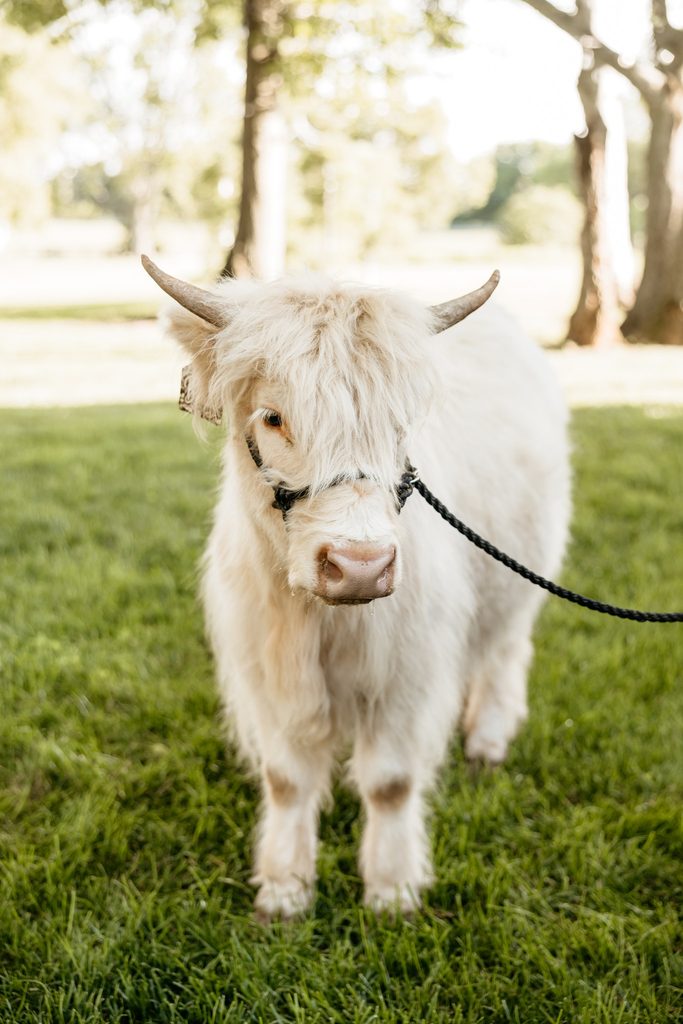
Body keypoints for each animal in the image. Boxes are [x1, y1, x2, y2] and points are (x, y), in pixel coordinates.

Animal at [142, 256, 571, 919]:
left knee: (504, 652)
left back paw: (489, 738)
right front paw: (284, 889)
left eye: (399, 424)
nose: (360, 565)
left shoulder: (406, 673)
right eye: (273, 417)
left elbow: (391, 783)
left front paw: (392, 889)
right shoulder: (268, 673)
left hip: (520, 582)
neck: (325, 619)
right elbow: (287, 779)